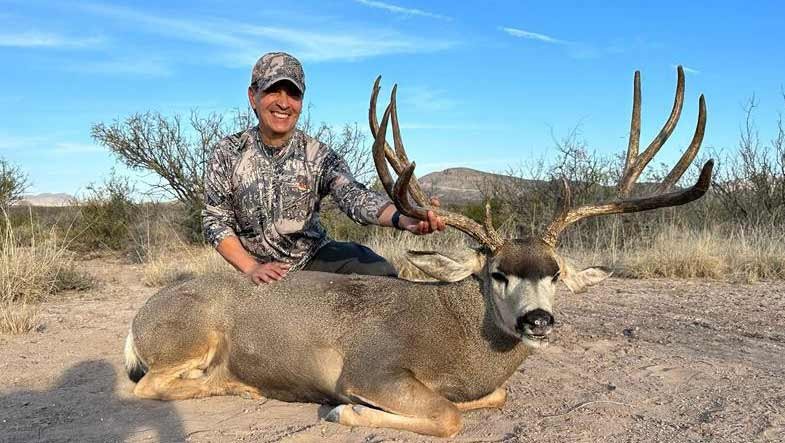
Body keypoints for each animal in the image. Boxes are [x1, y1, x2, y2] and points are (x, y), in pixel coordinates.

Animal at [124, 66, 712, 437]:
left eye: (554, 274)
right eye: (497, 273)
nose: (539, 321)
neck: (454, 341)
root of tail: (139, 317)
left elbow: (487, 398)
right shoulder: (371, 369)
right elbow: (448, 416)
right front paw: (344, 415)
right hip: (191, 335)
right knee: (146, 387)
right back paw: (236, 386)